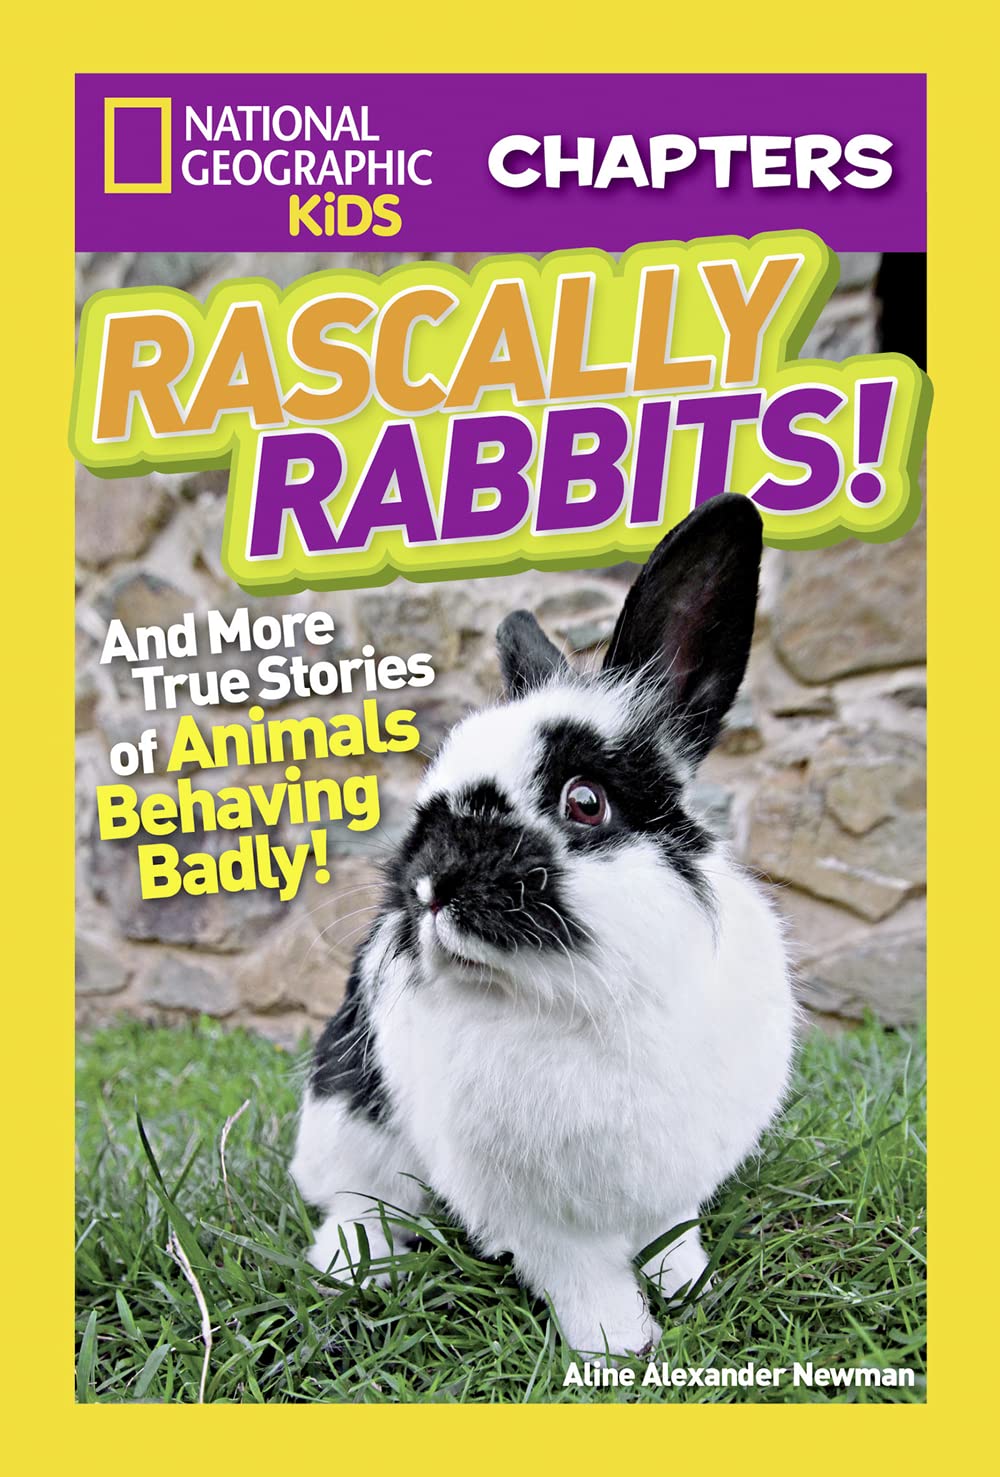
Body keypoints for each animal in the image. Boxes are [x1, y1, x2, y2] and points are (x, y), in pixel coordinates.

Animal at [290, 492, 795, 1358]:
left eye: (584, 801)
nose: (427, 883)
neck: (582, 997)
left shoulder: (673, 1175)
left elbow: (673, 1234)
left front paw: (690, 1288)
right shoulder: (539, 1214)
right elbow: (584, 1275)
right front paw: (618, 1347)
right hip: (344, 1118)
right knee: (352, 1199)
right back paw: (353, 1266)